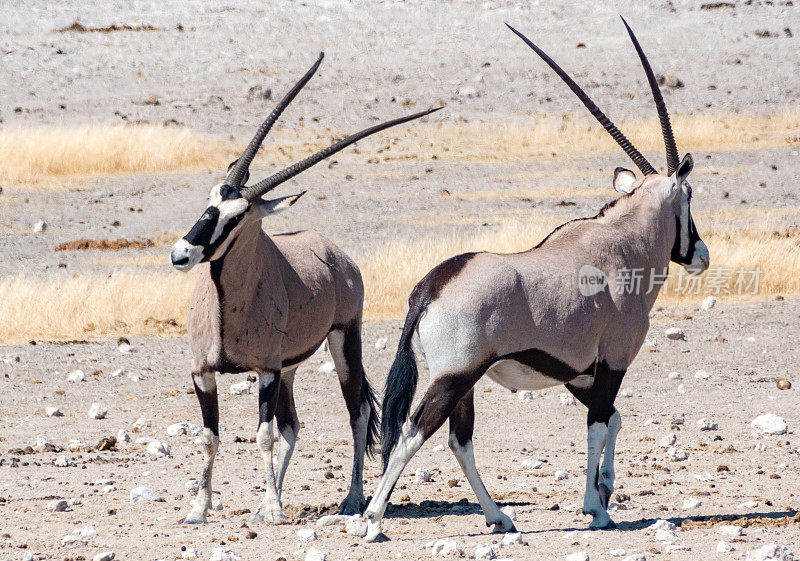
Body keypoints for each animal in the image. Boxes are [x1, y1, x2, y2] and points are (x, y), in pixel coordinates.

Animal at [171, 53, 440, 524]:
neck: (227, 304)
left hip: (343, 340)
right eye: (211, 199)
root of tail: (337, 254)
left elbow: (262, 436)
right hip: (291, 367)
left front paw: (272, 508)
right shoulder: (203, 373)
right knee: (292, 425)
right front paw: (199, 510)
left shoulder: (265, 371)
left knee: (356, 413)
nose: (182, 253)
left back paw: (351, 499)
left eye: (237, 216)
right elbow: (210, 438)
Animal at [362, 19, 708, 540]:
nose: (700, 255)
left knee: (459, 440)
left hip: (464, 382)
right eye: (687, 198)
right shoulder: (612, 362)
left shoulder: (578, 371)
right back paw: (372, 520)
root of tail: (429, 288)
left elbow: (614, 419)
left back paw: (499, 516)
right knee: (412, 434)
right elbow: (599, 425)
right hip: (452, 378)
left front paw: (606, 488)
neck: (622, 244)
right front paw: (596, 507)